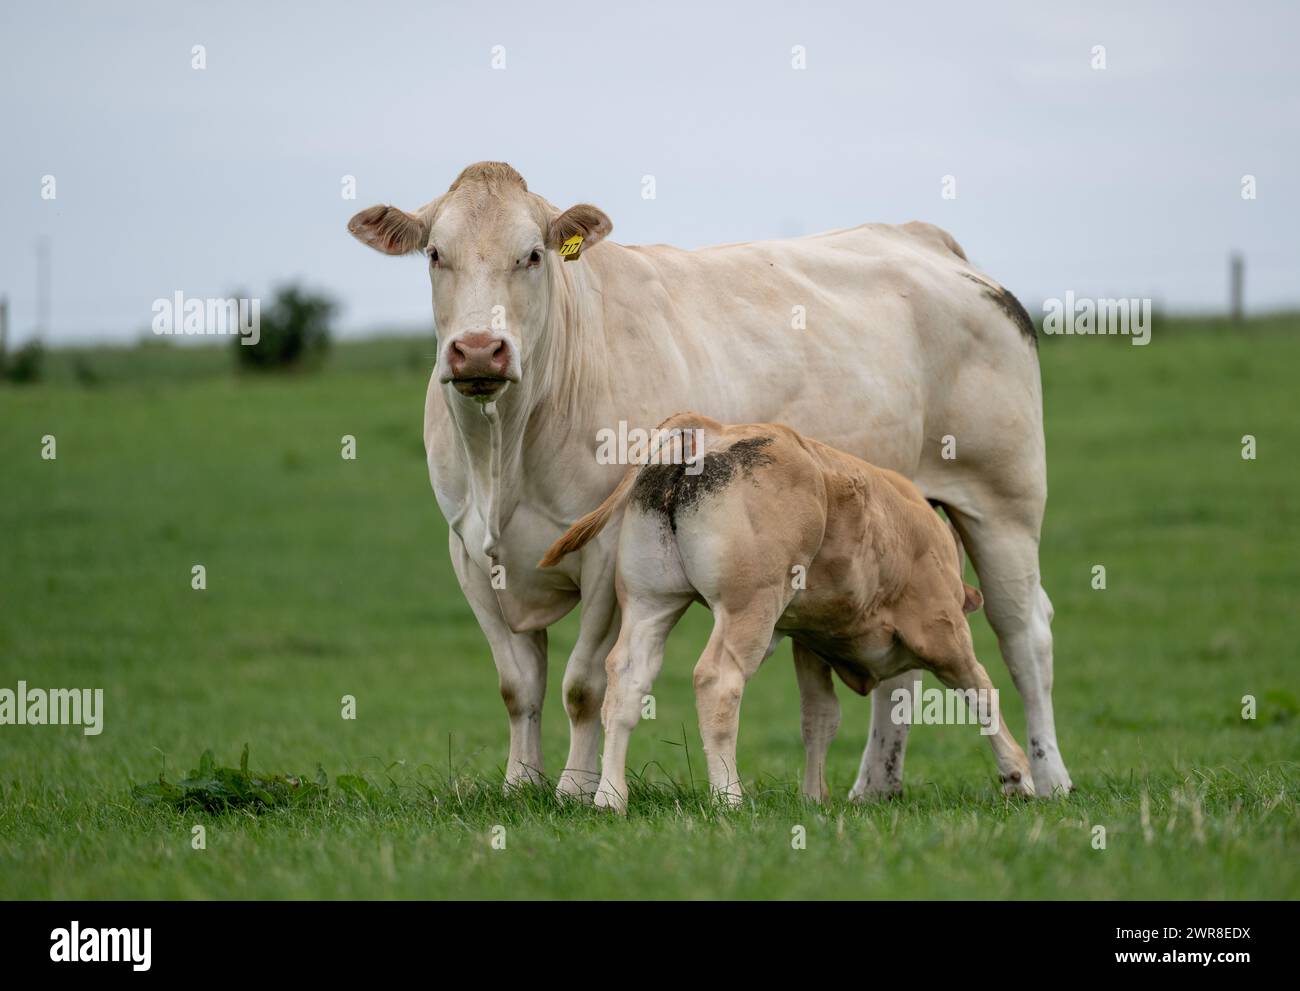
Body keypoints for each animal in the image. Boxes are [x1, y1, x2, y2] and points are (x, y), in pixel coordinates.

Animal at [538, 414, 1035, 811]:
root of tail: (714, 430)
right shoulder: (943, 630)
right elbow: (982, 691)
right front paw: (1018, 777)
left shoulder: (809, 641)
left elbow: (819, 718)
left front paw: (814, 799)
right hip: (749, 607)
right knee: (717, 681)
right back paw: (729, 798)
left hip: (650, 602)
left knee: (625, 679)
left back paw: (610, 797)